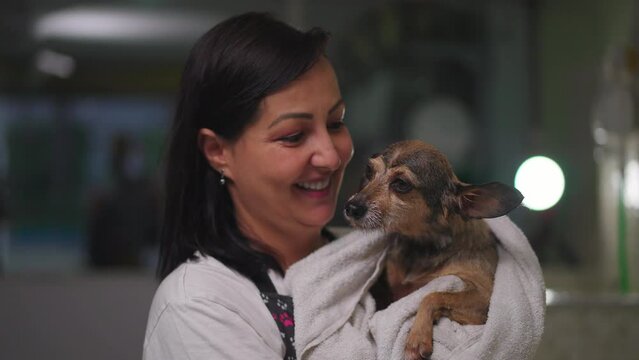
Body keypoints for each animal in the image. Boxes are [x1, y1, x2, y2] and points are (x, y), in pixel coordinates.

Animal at [348, 141, 524, 360]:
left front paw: (416, 339)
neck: (419, 246)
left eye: (401, 184)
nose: (351, 207)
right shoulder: (394, 287)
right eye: (369, 171)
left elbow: (431, 295)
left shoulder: (484, 295)